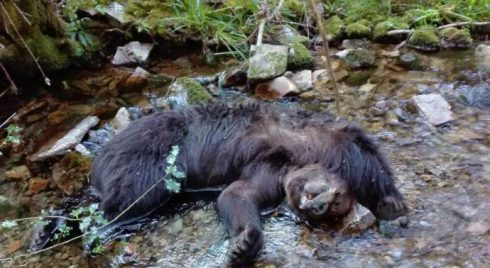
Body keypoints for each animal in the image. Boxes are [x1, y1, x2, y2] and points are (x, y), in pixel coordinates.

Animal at [90, 101, 408, 266]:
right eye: (336, 195)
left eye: (335, 206)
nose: (317, 206)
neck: (297, 158)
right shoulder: (323, 141)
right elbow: (368, 159)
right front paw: (393, 203)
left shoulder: (268, 173)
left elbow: (237, 194)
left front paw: (243, 244)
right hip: (153, 153)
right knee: (135, 190)